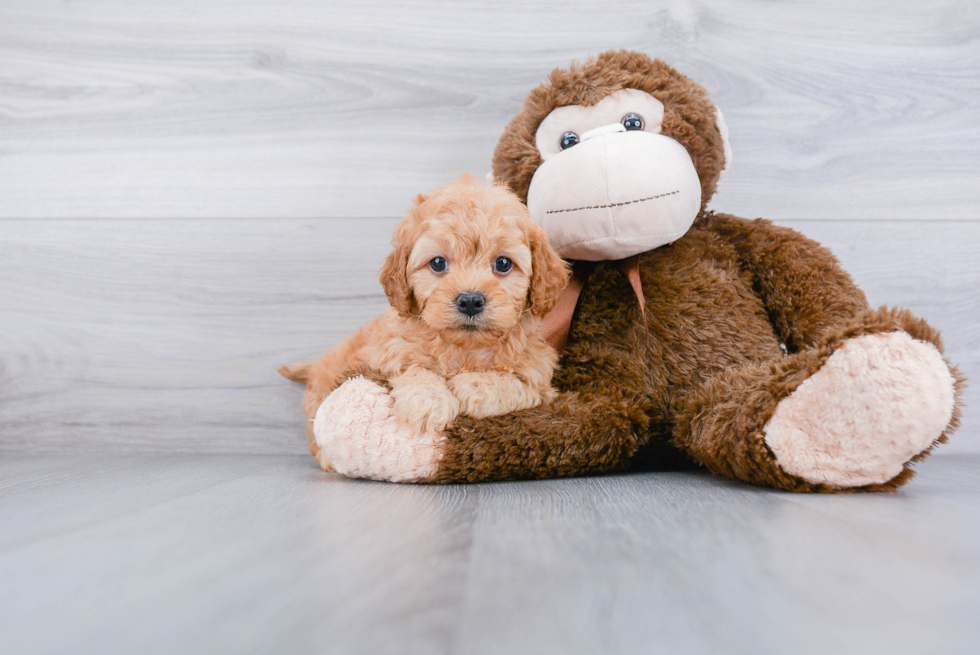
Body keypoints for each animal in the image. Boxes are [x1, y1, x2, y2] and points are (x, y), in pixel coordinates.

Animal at [280, 174, 572, 472]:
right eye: (438, 263)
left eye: (503, 263)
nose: (470, 301)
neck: (465, 349)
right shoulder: (387, 353)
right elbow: (414, 368)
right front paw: (429, 401)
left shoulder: (539, 377)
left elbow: (516, 383)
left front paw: (473, 386)